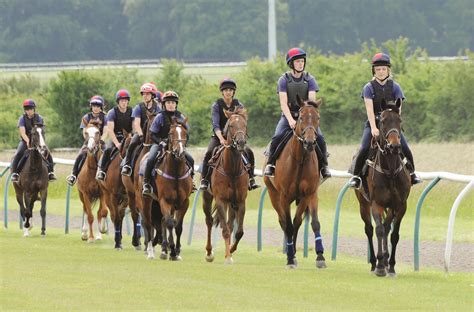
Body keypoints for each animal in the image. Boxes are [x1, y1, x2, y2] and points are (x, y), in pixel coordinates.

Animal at [141, 118, 193, 260]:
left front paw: (177, 251)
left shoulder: (183, 202)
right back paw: (151, 251)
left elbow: (177, 226)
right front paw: (173, 251)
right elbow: (170, 224)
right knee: (148, 222)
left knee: (162, 221)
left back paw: (164, 249)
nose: (180, 152)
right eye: (170, 133)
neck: (176, 172)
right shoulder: (165, 200)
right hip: (147, 200)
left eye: (185, 133)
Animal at [202, 107, 250, 264]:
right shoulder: (221, 200)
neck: (232, 170)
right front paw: (228, 257)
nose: (241, 142)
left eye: (244, 124)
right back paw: (209, 252)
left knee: (229, 224)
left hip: (232, 203)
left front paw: (231, 251)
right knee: (209, 221)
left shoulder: (240, 201)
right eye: (231, 125)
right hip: (207, 198)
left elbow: (239, 231)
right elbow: (225, 230)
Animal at [262, 96, 326, 270]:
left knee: (296, 222)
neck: (300, 161)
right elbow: (288, 226)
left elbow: (312, 223)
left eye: (318, 118)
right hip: (274, 195)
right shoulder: (284, 196)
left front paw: (320, 257)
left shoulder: (309, 194)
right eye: (301, 118)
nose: (310, 142)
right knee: (284, 222)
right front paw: (290, 259)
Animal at [356, 98, 412, 276]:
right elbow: (379, 230)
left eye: (399, 120)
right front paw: (380, 265)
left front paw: (391, 265)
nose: (394, 146)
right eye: (382, 121)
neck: (391, 172)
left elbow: (393, 233)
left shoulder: (399, 205)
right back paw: (375, 263)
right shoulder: (377, 203)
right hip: (363, 203)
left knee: (387, 228)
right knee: (369, 229)